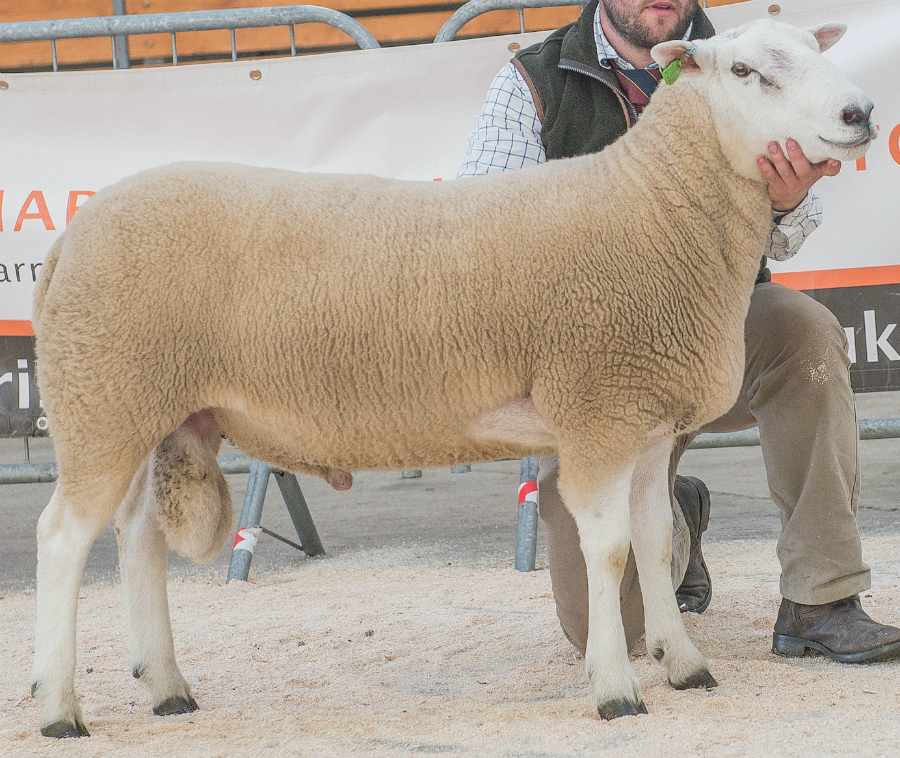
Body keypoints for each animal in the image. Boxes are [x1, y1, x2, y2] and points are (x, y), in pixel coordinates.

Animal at [28, 17, 872, 740]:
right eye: (745, 71)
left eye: (815, 48)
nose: (861, 111)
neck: (656, 205)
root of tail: (72, 235)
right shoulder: (597, 407)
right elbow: (607, 552)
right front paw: (616, 689)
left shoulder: (649, 419)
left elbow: (657, 538)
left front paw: (685, 664)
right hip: (103, 396)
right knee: (62, 540)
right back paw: (60, 708)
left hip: (150, 408)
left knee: (137, 537)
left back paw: (167, 687)